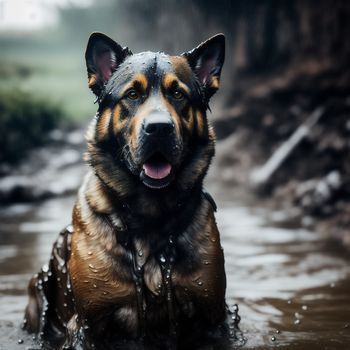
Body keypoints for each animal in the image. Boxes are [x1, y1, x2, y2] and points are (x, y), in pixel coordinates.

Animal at [23, 31, 230, 348]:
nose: (159, 128)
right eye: (132, 95)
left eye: (178, 94)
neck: (150, 216)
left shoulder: (213, 316)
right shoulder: (86, 325)